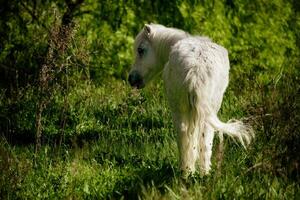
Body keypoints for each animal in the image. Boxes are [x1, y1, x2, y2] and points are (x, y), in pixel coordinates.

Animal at [129, 23, 253, 175]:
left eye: (140, 50)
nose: (131, 79)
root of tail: (196, 70)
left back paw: (190, 171)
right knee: (201, 137)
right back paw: (198, 172)